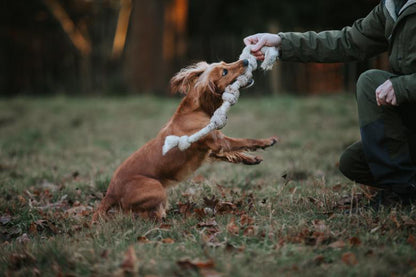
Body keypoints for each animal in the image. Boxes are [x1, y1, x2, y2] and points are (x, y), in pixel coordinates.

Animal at [92, 59, 278, 221]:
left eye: (225, 62)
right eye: (224, 72)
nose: (246, 61)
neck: (195, 110)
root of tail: (110, 193)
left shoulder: (211, 150)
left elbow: (236, 153)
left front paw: (252, 159)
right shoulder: (219, 142)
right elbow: (246, 140)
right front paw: (266, 141)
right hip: (157, 188)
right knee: (145, 215)